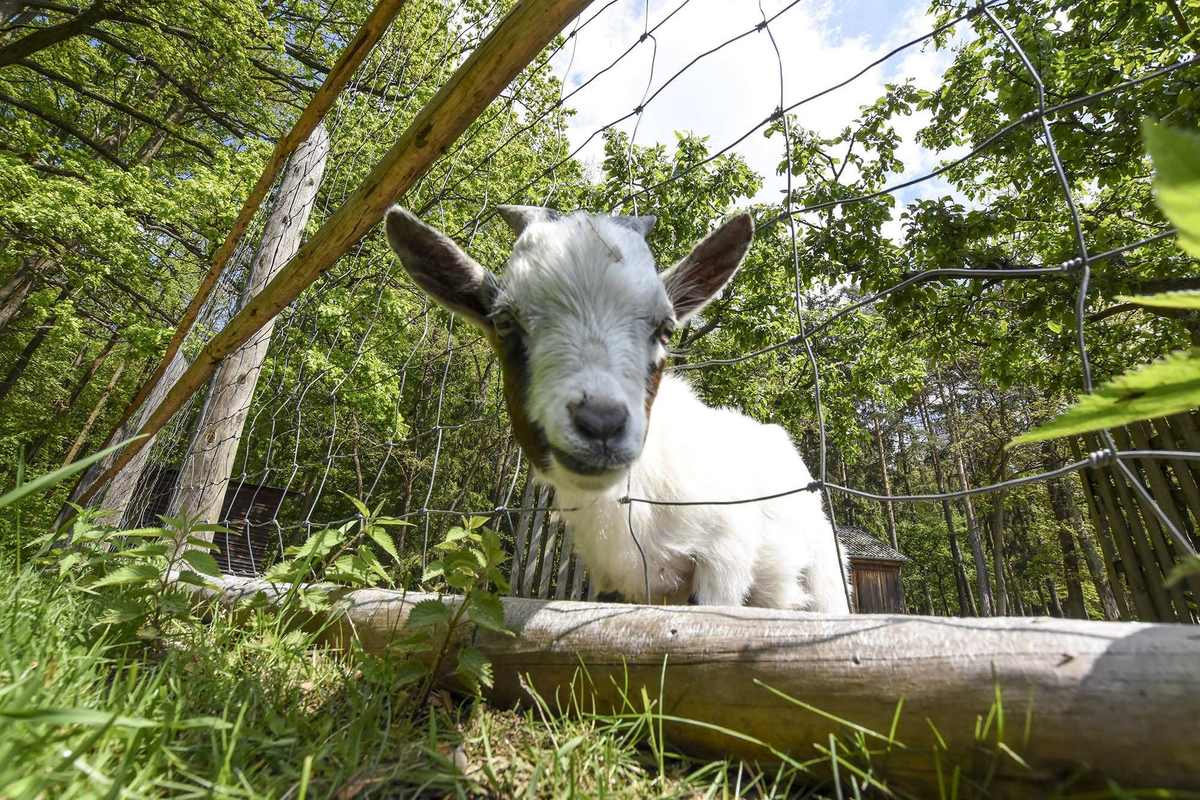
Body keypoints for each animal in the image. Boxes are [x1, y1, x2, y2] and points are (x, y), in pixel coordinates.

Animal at [384, 204, 849, 611]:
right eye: (503, 322)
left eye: (665, 328)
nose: (601, 423)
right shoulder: (612, 579)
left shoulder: (723, 560)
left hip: (824, 576)